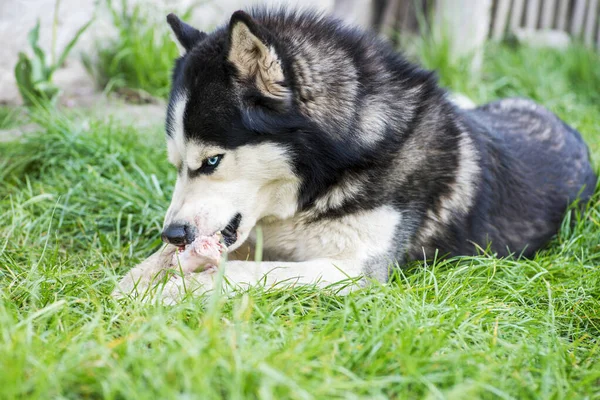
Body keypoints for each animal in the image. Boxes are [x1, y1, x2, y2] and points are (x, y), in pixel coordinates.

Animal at [112, 8, 596, 304]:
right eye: (176, 164)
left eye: (211, 161)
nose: (173, 232)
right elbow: (163, 262)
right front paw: (136, 281)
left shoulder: (355, 270)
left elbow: (244, 273)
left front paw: (171, 290)